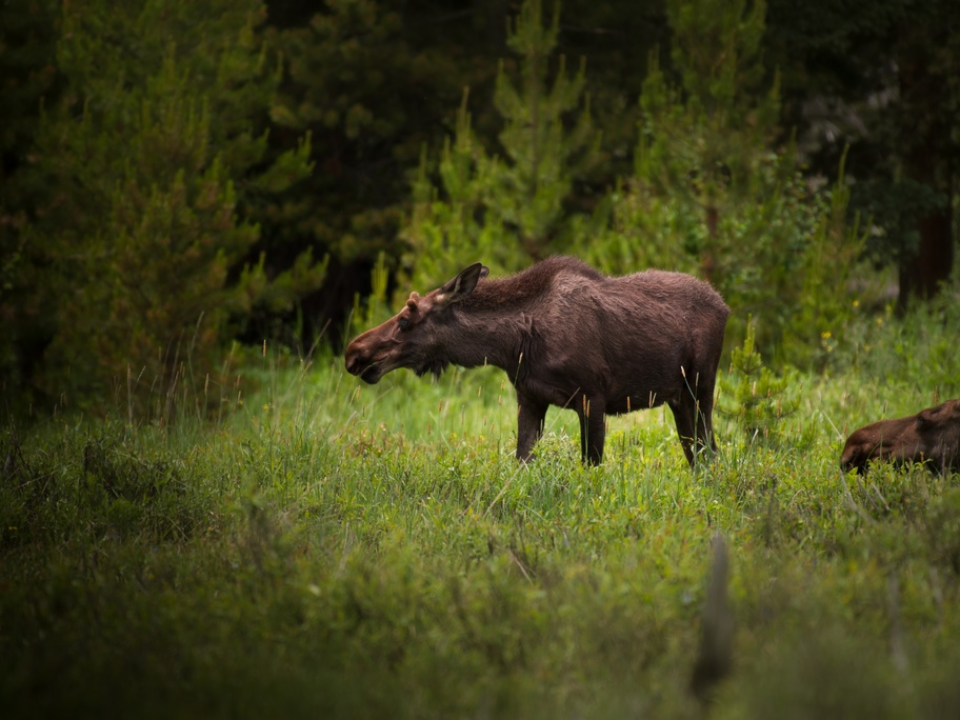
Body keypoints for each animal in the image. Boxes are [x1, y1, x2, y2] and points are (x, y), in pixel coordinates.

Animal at [344, 256, 728, 464]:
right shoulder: (529, 397)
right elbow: (521, 461)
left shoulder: (593, 397)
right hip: (678, 397)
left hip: (701, 386)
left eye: (405, 319)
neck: (514, 345)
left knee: (709, 450)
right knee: (695, 452)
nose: (354, 353)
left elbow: (591, 465)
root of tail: (725, 306)